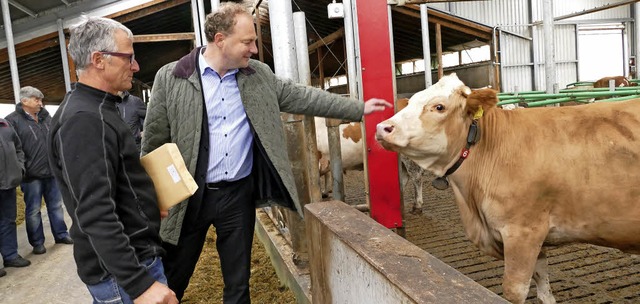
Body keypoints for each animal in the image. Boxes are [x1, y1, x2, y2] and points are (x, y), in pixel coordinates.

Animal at [376, 73, 640, 304]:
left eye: (439, 107)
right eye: (411, 100)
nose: (382, 127)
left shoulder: (522, 232)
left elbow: (515, 291)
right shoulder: (537, 237)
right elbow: (543, 289)